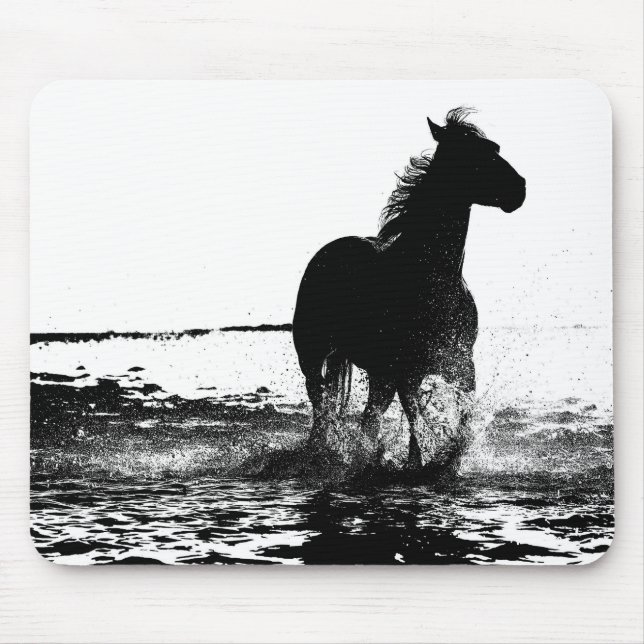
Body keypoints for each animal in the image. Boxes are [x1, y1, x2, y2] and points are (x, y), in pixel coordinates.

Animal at [292, 107, 526, 468]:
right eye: (474, 154)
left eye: (494, 147)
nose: (520, 188)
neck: (431, 278)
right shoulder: (406, 371)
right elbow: (415, 419)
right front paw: (421, 461)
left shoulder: (460, 365)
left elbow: (460, 417)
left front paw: (447, 457)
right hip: (314, 355)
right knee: (322, 408)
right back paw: (324, 451)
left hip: (377, 373)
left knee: (367, 416)